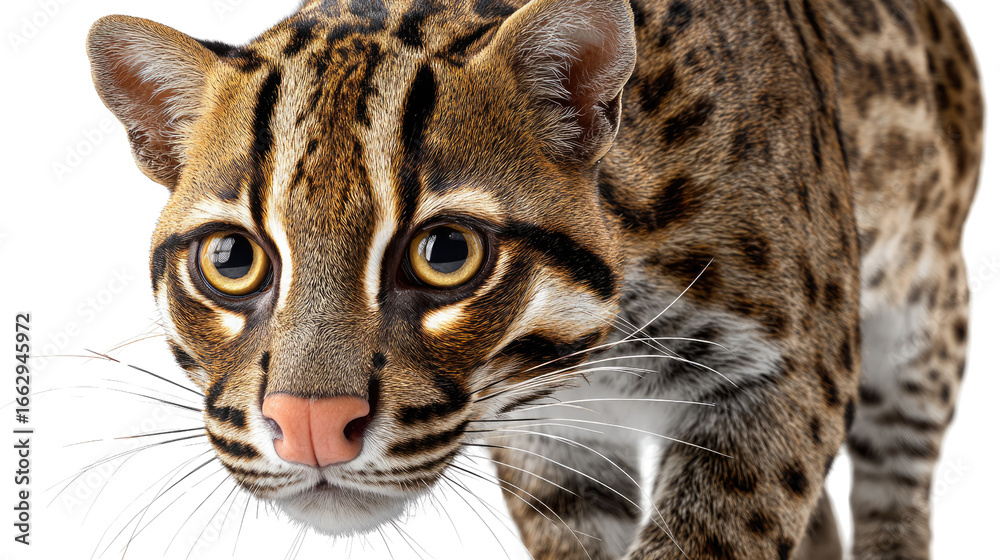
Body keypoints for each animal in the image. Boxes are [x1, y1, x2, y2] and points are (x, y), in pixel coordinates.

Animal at [85, 0, 982, 558]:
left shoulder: (793, 369)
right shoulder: (555, 444)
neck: (606, 346)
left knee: (897, 486)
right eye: (231, 260)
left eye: (445, 251)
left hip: (928, 309)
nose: (309, 428)